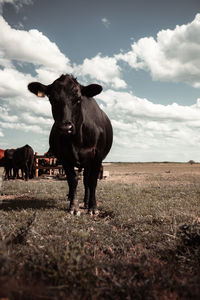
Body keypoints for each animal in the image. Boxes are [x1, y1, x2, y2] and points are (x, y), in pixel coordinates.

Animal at [27, 75, 112, 216]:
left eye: (78, 99)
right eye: (52, 99)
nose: (65, 127)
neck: (77, 138)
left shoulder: (97, 156)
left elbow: (92, 181)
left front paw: (93, 207)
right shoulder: (64, 157)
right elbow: (72, 180)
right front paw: (73, 206)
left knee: (86, 180)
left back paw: (87, 202)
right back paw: (72, 197)